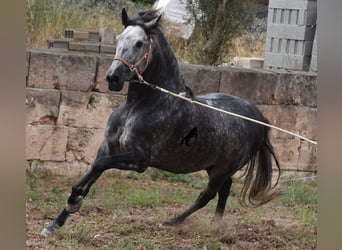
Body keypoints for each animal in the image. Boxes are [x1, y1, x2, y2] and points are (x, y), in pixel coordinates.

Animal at [40, 7, 280, 236]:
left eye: (139, 43)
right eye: (118, 39)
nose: (112, 78)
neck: (141, 107)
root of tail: (259, 117)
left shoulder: (140, 159)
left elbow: (99, 166)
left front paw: (73, 203)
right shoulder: (108, 147)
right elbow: (93, 172)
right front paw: (55, 223)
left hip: (222, 169)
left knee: (208, 195)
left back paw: (174, 222)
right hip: (215, 167)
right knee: (224, 190)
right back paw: (215, 224)